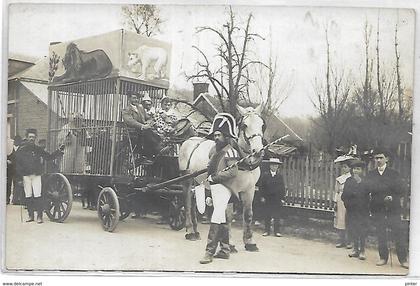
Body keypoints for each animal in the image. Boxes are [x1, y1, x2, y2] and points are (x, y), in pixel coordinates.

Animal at [178, 104, 266, 250]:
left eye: (262, 125)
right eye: (245, 125)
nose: (258, 151)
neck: (242, 161)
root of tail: (190, 140)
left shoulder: (249, 189)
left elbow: (248, 214)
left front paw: (250, 242)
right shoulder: (229, 188)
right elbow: (228, 216)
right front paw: (229, 243)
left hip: (198, 181)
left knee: (194, 201)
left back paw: (195, 231)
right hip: (187, 180)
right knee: (187, 202)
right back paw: (190, 230)